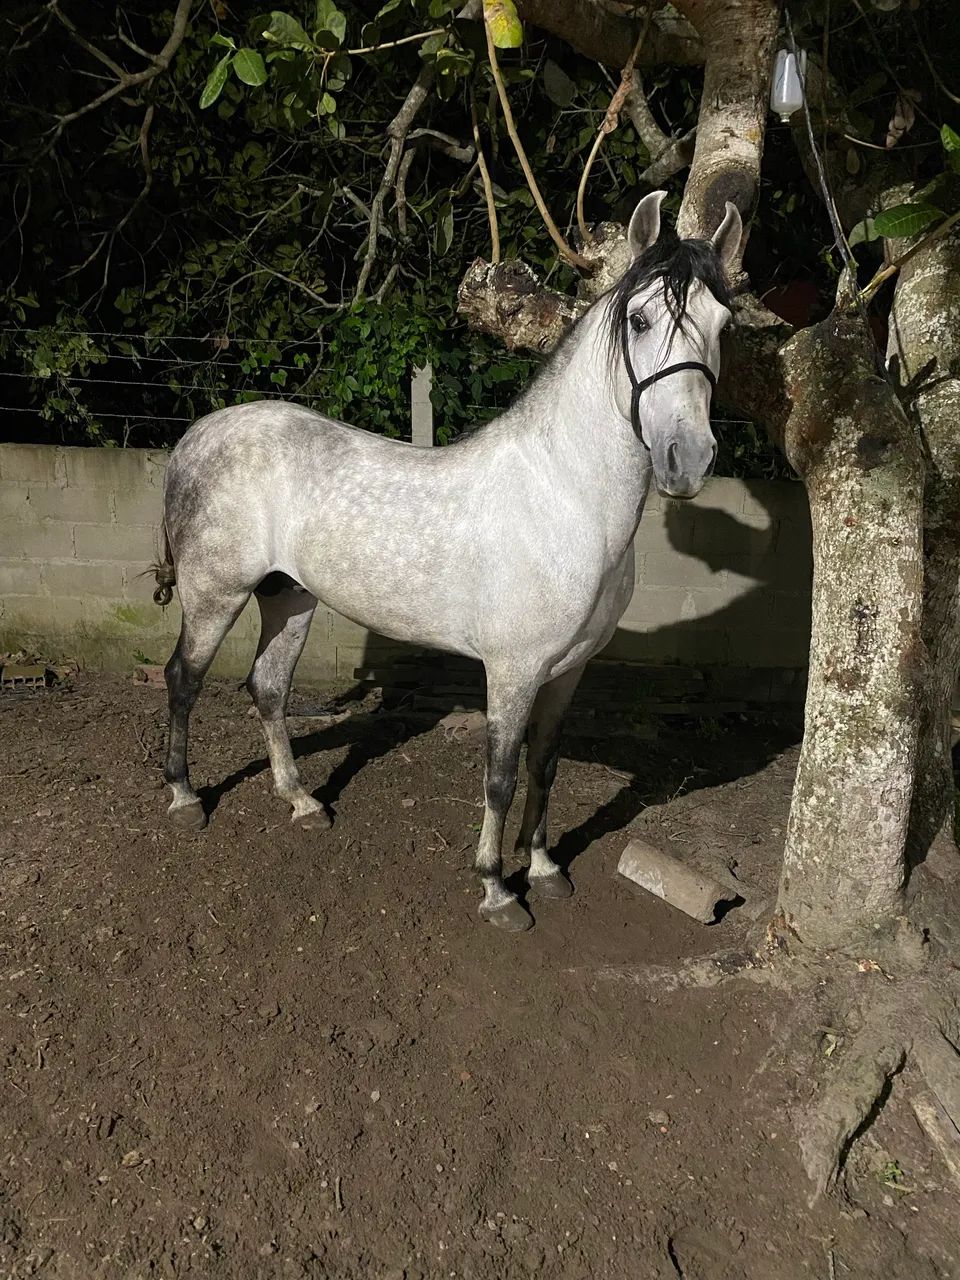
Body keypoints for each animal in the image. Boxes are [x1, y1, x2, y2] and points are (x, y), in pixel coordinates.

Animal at [151, 190, 742, 933]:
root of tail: (197, 436)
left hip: (289, 596)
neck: (563, 496)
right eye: (639, 319)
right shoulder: (513, 671)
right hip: (216, 594)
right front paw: (497, 890)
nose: (687, 459)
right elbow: (501, 775)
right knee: (183, 680)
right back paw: (184, 800)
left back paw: (303, 803)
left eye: (724, 324)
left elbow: (544, 766)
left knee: (269, 687)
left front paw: (544, 870)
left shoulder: (569, 670)